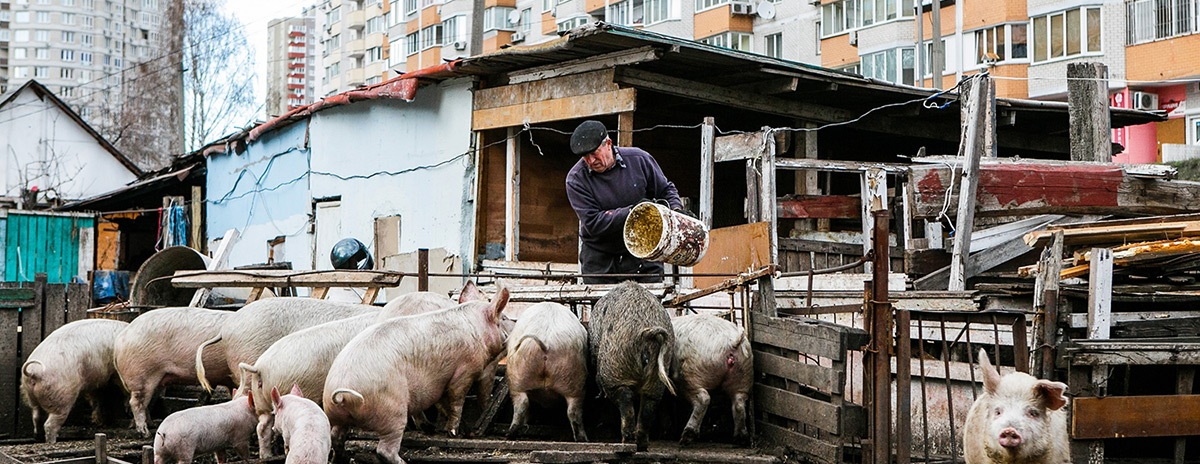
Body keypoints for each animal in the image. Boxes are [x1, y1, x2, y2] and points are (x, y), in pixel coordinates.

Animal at [114, 306, 231, 438]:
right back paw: (146, 433)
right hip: (142, 374)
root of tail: (119, 340)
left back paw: (151, 425)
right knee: (136, 402)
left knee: (144, 403)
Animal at [321, 288, 508, 462]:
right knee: (384, 450)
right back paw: (403, 459)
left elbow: (444, 402)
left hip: (338, 416)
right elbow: (456, 399)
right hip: (393, 411)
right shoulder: (465, 369)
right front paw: (455, 433)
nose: (509, 335)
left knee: (336, 437)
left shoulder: (442, 382)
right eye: (503, 319)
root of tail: (342, 395)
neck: (477, 327)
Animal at [501, 303, 585, 441]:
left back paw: (510, 434)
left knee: (521, 405)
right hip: (572, 379)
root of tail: (546, 342)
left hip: (517, 376)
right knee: (573, 411)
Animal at [676, 316, 748, 446]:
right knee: (739, 404)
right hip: (743, 377)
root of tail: (732, 341)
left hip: (691, 375)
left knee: (703, 399)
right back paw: (741, 439)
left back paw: (686, 438)